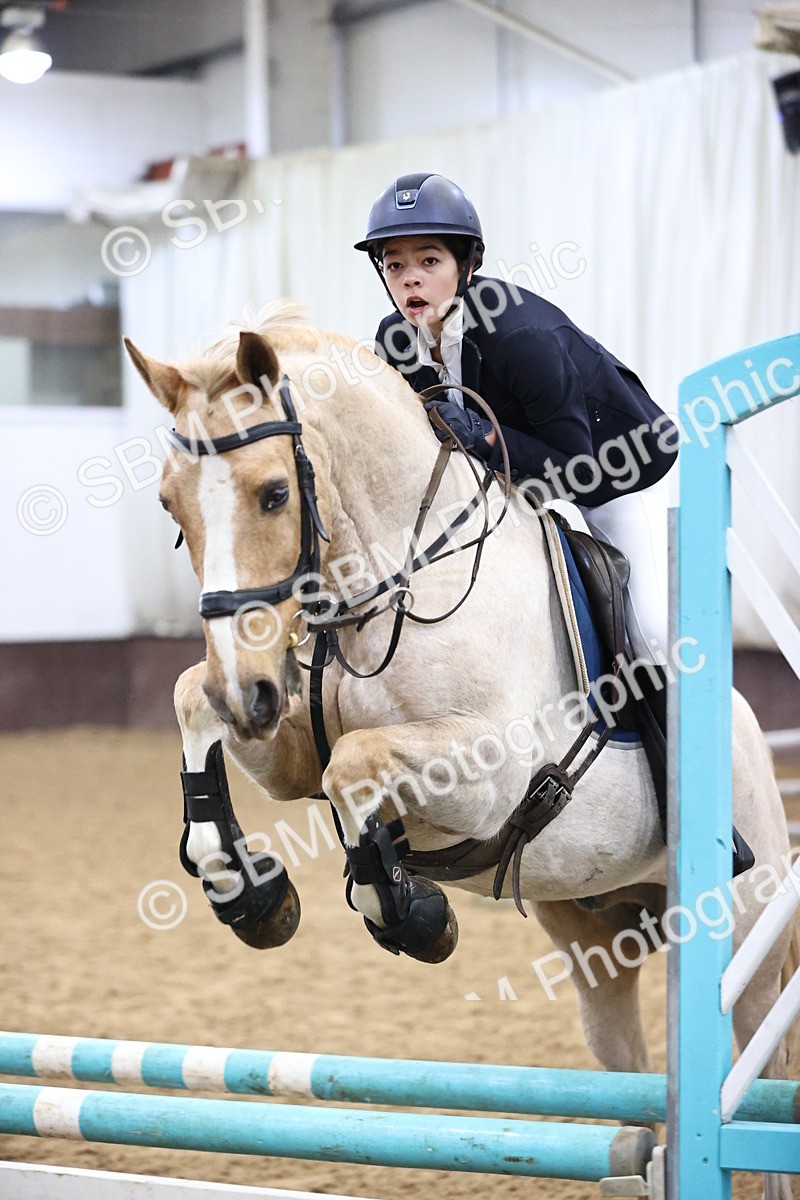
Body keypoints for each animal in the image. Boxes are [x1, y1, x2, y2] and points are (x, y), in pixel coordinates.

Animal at [124, 303, 798, 1167]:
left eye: (274, 494)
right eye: (170, 506)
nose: (249, 693)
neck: (399, 579)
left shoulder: (488, 778)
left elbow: (354, 767)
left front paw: (415, 915)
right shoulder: (286, 749)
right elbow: (193, 702)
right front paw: (251, 892)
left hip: (744, 944)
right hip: (597, 941)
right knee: (629, 1069)